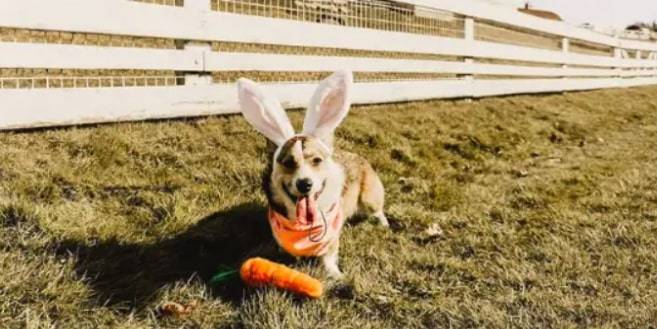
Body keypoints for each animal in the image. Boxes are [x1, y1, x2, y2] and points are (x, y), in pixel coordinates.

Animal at [237, 70, 386, 278]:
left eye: (316, 160)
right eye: (288, 163)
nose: (305, 184)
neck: (303, 226)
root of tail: (360, 157)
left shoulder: (330, 238)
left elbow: (329, 257)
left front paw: (335, 275)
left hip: (369, 199)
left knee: (378, 210)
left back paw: (384, 224)